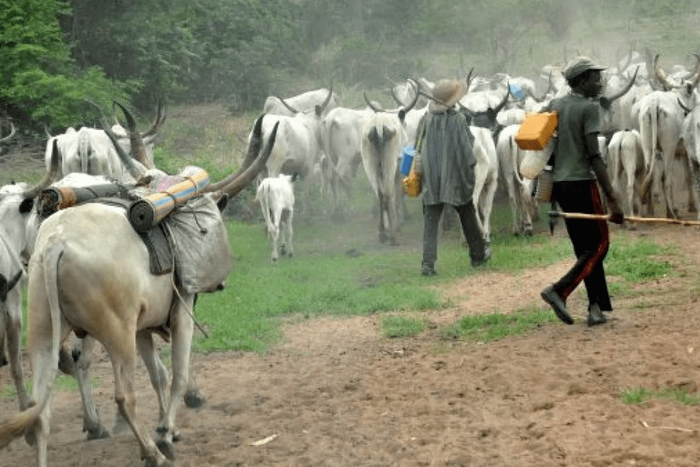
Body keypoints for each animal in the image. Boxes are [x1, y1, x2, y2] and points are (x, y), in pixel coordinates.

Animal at [0, 114, 278, 467]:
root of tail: (56, 244)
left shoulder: (143, 327)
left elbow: (158, 374)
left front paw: (168, 427)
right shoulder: (180, 309)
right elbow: (177, 374)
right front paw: (167, 432)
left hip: (44, 329)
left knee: (41, 410)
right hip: (117, 334)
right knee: (123, 395)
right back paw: (151, 451)